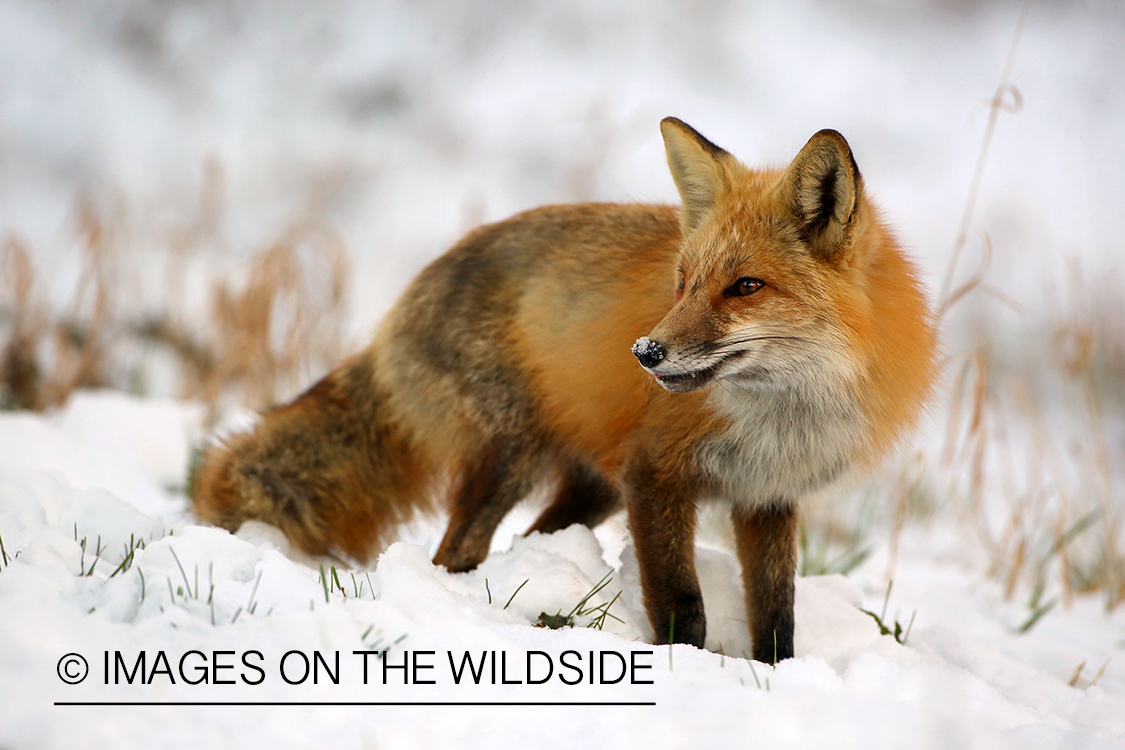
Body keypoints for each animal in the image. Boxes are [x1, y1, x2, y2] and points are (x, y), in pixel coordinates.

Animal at [189, 120, 936, 665]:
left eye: (744, 287)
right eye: (684, 282)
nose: (645, 353)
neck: (785, 414)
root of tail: (407, 297)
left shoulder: (766, 496)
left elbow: (777, 618)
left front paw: (773, 678)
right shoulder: (655, 474)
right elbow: (680, 603)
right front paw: (683, 668)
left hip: (592, 487)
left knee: (532, 538)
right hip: (513, 459)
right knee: (455, 552)